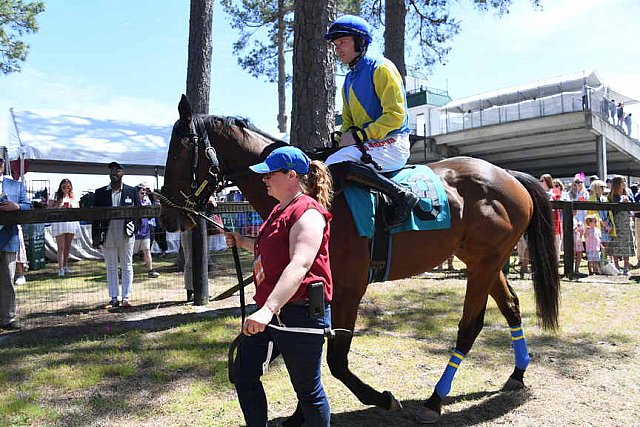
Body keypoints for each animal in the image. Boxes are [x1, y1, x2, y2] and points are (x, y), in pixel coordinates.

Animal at [161, 94, 560, 424]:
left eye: (178, 153)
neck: (314, 193)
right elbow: (302, 354)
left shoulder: (348, 289)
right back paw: (517, 374)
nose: (167, 217)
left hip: (484, 263)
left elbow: (335, 361)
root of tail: (506, 174)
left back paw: (434, 400)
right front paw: (300, 413)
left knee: (469, 326)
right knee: (510, 306)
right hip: (482, 261)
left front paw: (380, 398)